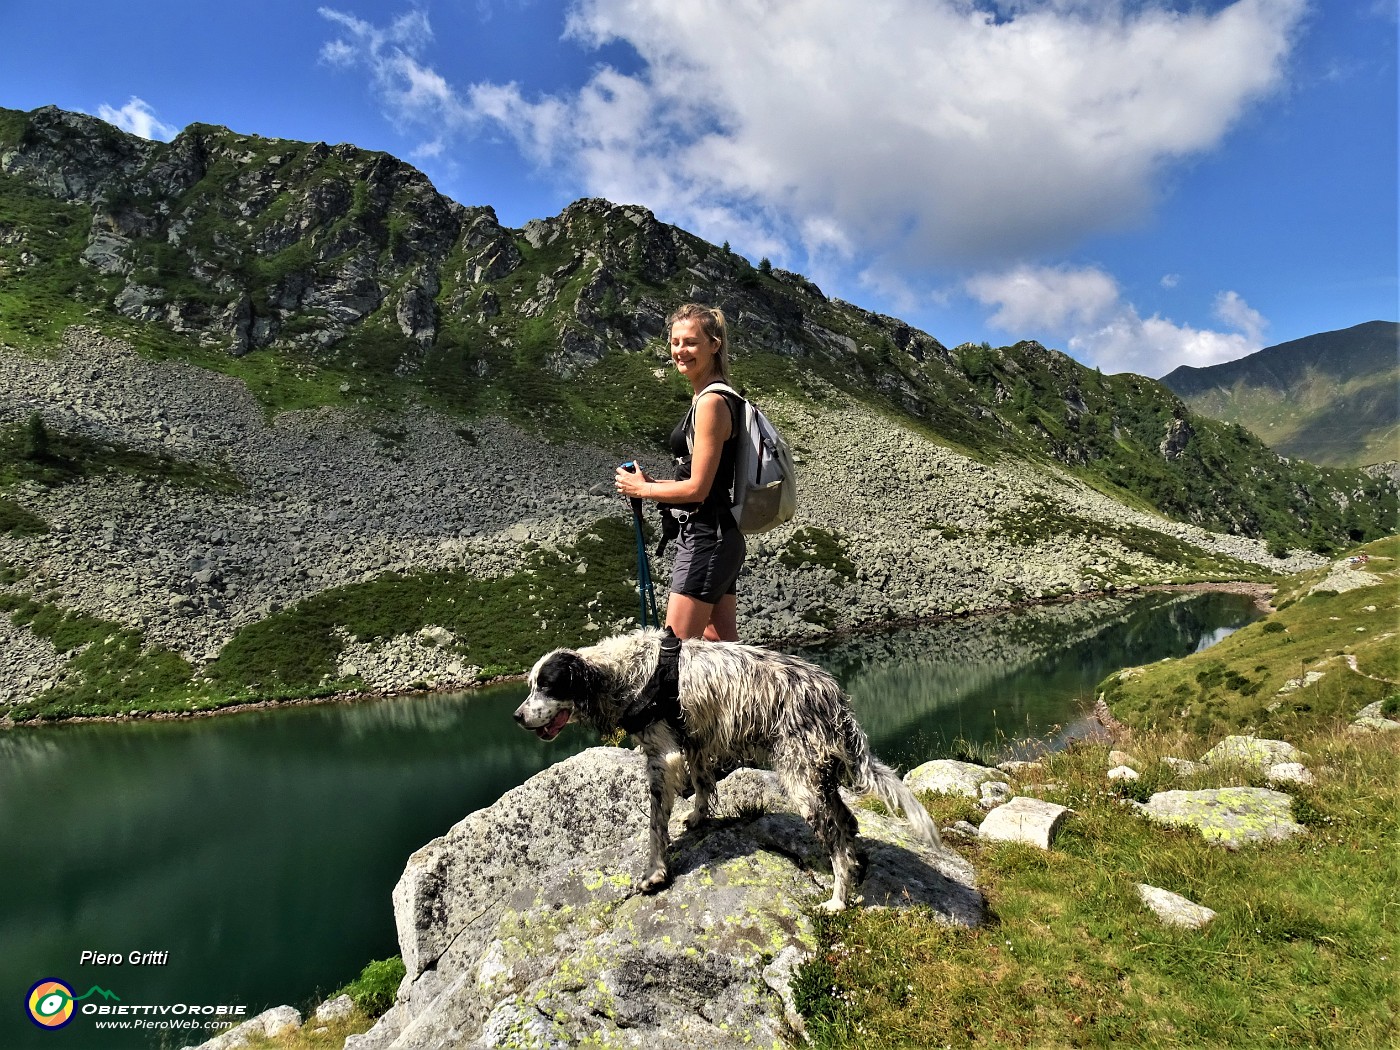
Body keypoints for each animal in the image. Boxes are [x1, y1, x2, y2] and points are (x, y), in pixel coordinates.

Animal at [515, 632, 940, 912]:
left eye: (547, 685)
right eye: (531, 685)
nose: (517, 716)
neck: (622, 672)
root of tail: (833, 695)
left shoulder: (662, 755)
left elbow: (655, 826)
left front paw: (655, 872)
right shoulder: (694, 741)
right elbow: (702, 783)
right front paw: (699, 816)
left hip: (801, 780)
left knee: (835, 839)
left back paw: (837, 898)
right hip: (818, 775)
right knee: (847, 823)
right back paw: (855, 867)